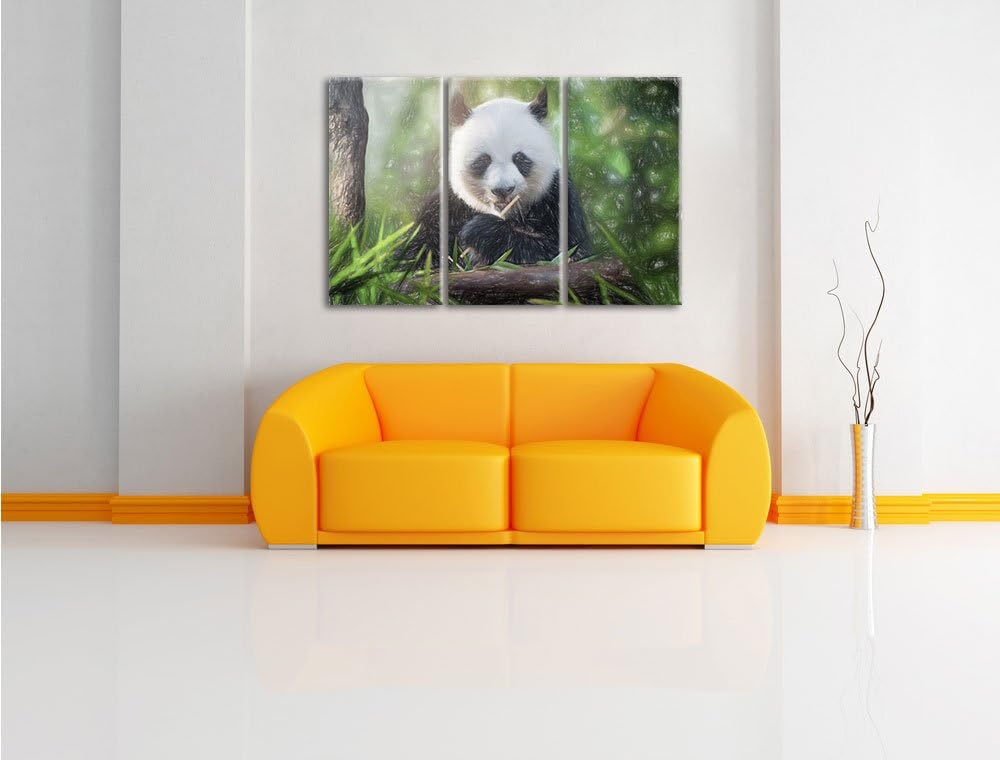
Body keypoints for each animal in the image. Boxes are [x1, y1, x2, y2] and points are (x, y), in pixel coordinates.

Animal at [402, 86, 590, 269]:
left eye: (519, 158)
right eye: (483, 160)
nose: (503, 190)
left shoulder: (556, 198)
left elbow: (565, 250)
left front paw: (480, 231)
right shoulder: (447, 205)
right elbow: (415, 253)